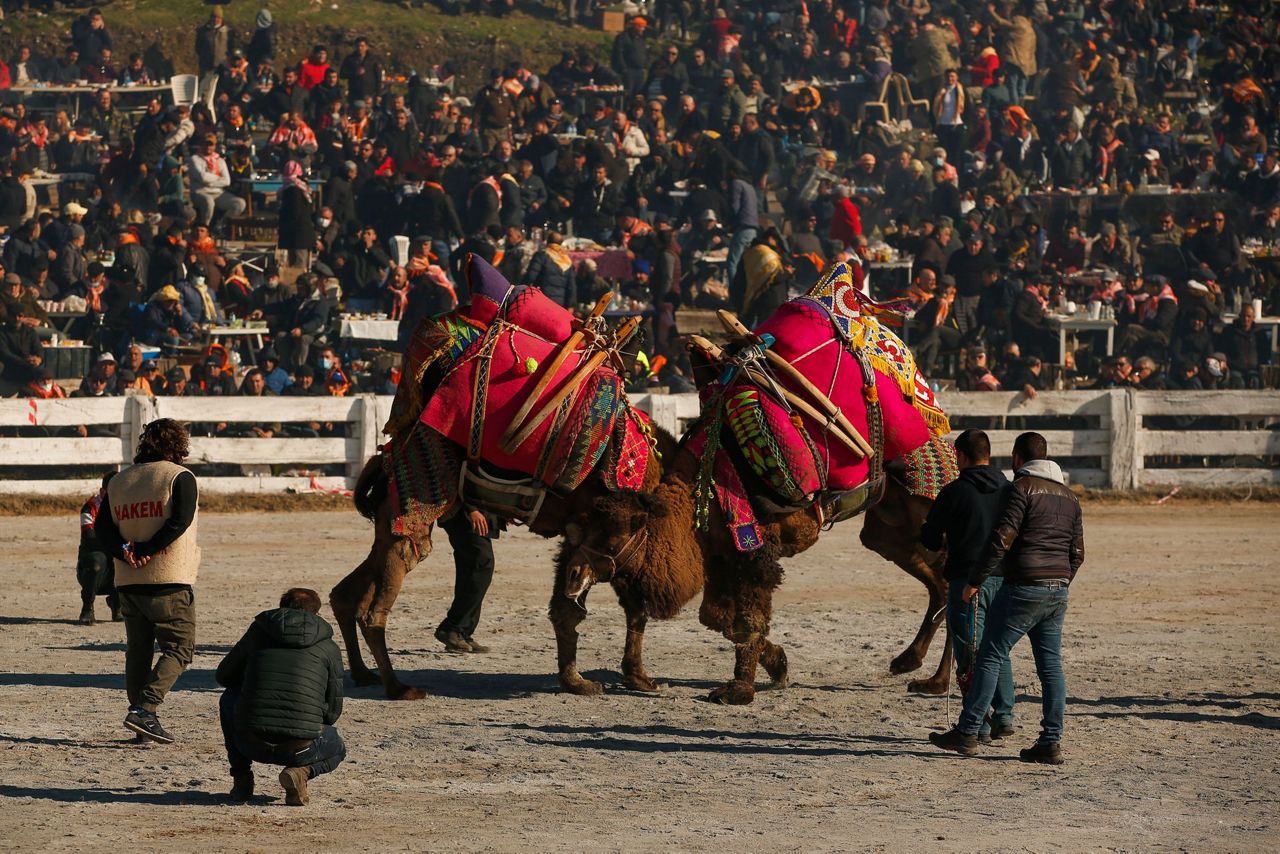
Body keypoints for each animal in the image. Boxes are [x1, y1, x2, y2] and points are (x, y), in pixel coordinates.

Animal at [327, 257, 670, 696]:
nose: (578, 578)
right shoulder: (602, 533)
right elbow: (607, 602)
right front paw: (617, 677)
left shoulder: (587, 538)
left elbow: (575, 607)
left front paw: (589, 679)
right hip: (413, 509)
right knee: (380, 599)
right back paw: (399, 687)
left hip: (390, 520)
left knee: (346, 594)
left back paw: (363, 672)